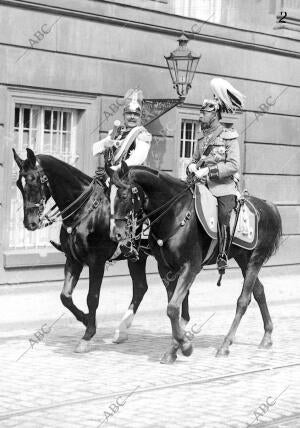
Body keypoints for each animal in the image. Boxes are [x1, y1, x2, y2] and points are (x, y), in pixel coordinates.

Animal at [12, 149, 192, 352]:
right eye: (19, 184)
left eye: (34, 180)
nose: (30, 223)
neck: (85, 210)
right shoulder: (72, 259)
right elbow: (65, 296)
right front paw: (84, 319)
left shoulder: (96, 261)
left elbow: (92, 297)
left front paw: (88, 334)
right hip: (138, 257)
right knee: (141, 287)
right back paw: (123, 330)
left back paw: (181, 325)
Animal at [109, 164, 282, 364]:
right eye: (109, 195)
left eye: (123, 195)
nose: (117, 234)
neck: (175, 214)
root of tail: (268, 206)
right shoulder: (166, 270)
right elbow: (174, 309)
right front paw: (176, 347)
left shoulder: (190, 267)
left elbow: (173, 308)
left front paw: (184, 346)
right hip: (243, 259)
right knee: (259, 291)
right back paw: (267, 336)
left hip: (255, 258)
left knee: (243, 300)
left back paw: (225, 345)